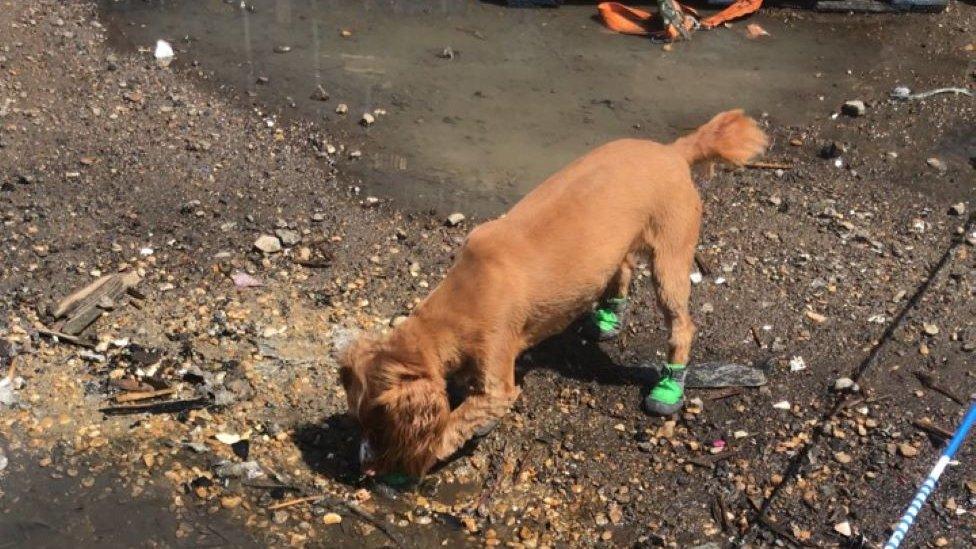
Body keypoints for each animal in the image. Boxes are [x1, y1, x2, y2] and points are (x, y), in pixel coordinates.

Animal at [344, 110, 772, 476]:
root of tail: (672, 151)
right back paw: (607, 317)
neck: (461, 298)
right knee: (623, 267)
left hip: (671, 257)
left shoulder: (498, 371)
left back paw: (669, 387)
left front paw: (415, 459)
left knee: (682, 325)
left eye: (378, 426)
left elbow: (458, 419)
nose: (362, 466)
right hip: (617, 244)